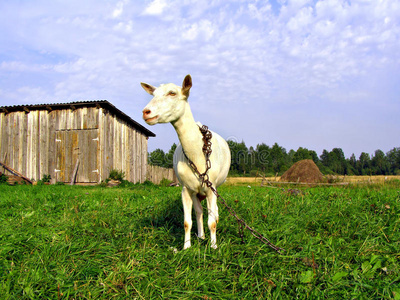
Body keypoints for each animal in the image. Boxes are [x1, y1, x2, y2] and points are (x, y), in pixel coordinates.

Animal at [141, 74, 230, 248]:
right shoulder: (186, 188)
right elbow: (187, 222)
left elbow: (212, 222)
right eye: (153, 94)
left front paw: (214, 247)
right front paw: (186, 247)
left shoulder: (212, 187)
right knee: (199, 212)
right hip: (196, 190)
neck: (198, 155)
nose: (146, 112)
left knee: (214, 212)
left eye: (172, 93)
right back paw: (201, 236)